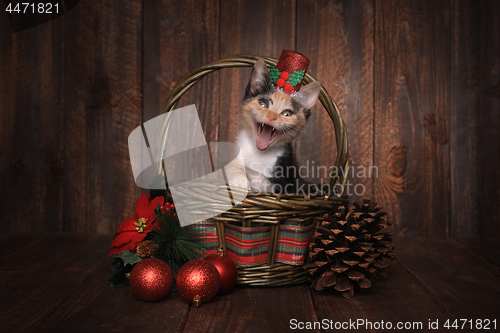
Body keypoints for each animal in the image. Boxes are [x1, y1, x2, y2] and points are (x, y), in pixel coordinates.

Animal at [226, 59, 320, 192]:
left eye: (287, 113)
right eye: (262, 104)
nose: (271, 117)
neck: (258, 152)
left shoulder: (286, 182)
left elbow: (261, 179)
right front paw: (238, 178)